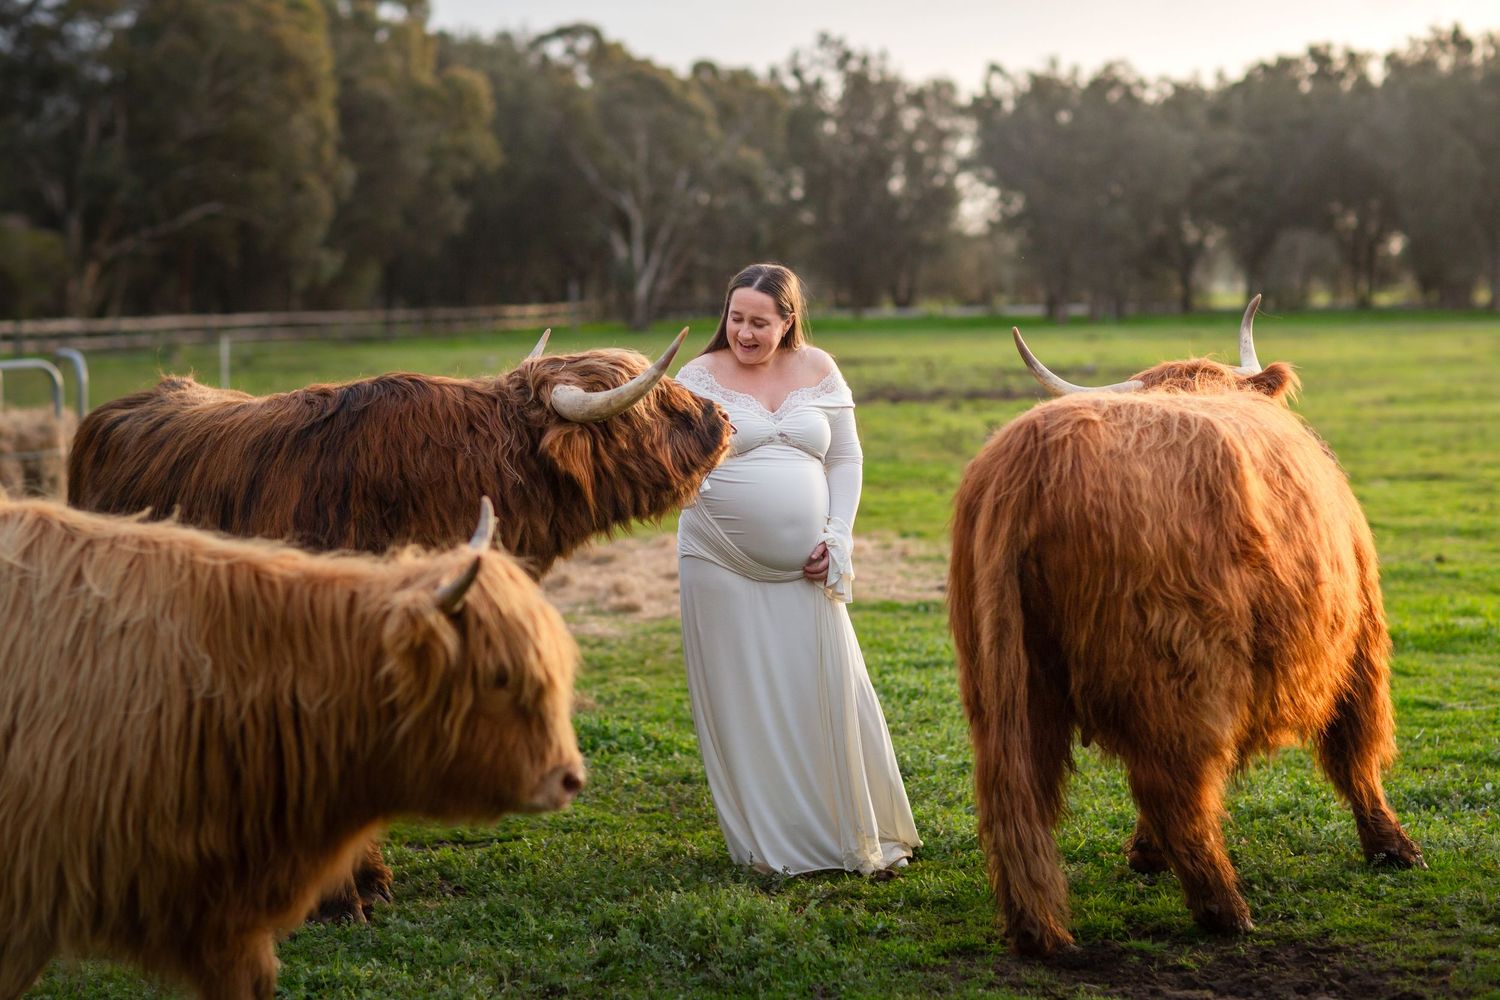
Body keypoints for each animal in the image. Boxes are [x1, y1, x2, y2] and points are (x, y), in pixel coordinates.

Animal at [947, 298, 1424, 956]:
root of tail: (1030, 459)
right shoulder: (1358, 638)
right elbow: (1357, 748)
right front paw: (1392, 847)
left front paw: (1143, 855)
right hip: (1182, 673)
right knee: (1174, 786)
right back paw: (1225, 909)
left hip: (1006, 680)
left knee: (1016, 790)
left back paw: (1036, 929)